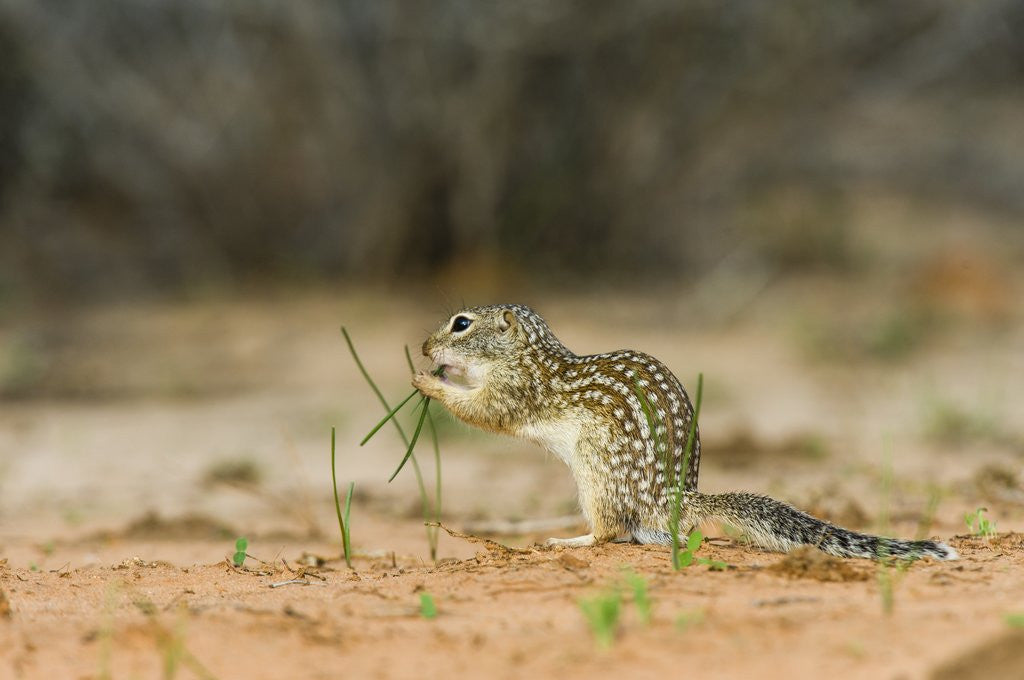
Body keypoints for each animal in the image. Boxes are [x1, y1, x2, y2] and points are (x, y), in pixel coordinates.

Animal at [412, 304, 958, 560]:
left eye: (461, 323)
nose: (422, 346)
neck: (528, 356)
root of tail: (678, 495)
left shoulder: (514, 391)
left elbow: (483, 412)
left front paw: (427, 382)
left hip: (596, 476)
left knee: (611, 530)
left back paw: (571, 540)